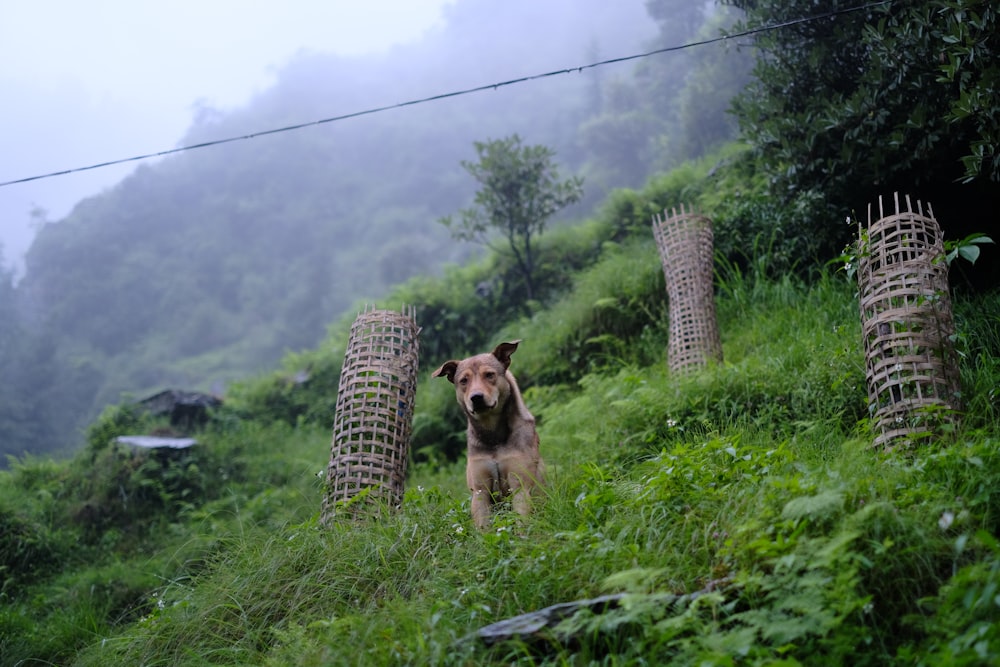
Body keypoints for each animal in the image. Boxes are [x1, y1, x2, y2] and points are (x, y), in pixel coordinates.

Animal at [436, 342, 544, 528]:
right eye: (463, 380)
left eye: (489, 375)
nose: (476, 397)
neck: (494, 437)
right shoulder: (480, 490)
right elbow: (483, 526)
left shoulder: (520, 485)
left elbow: (521, 521)